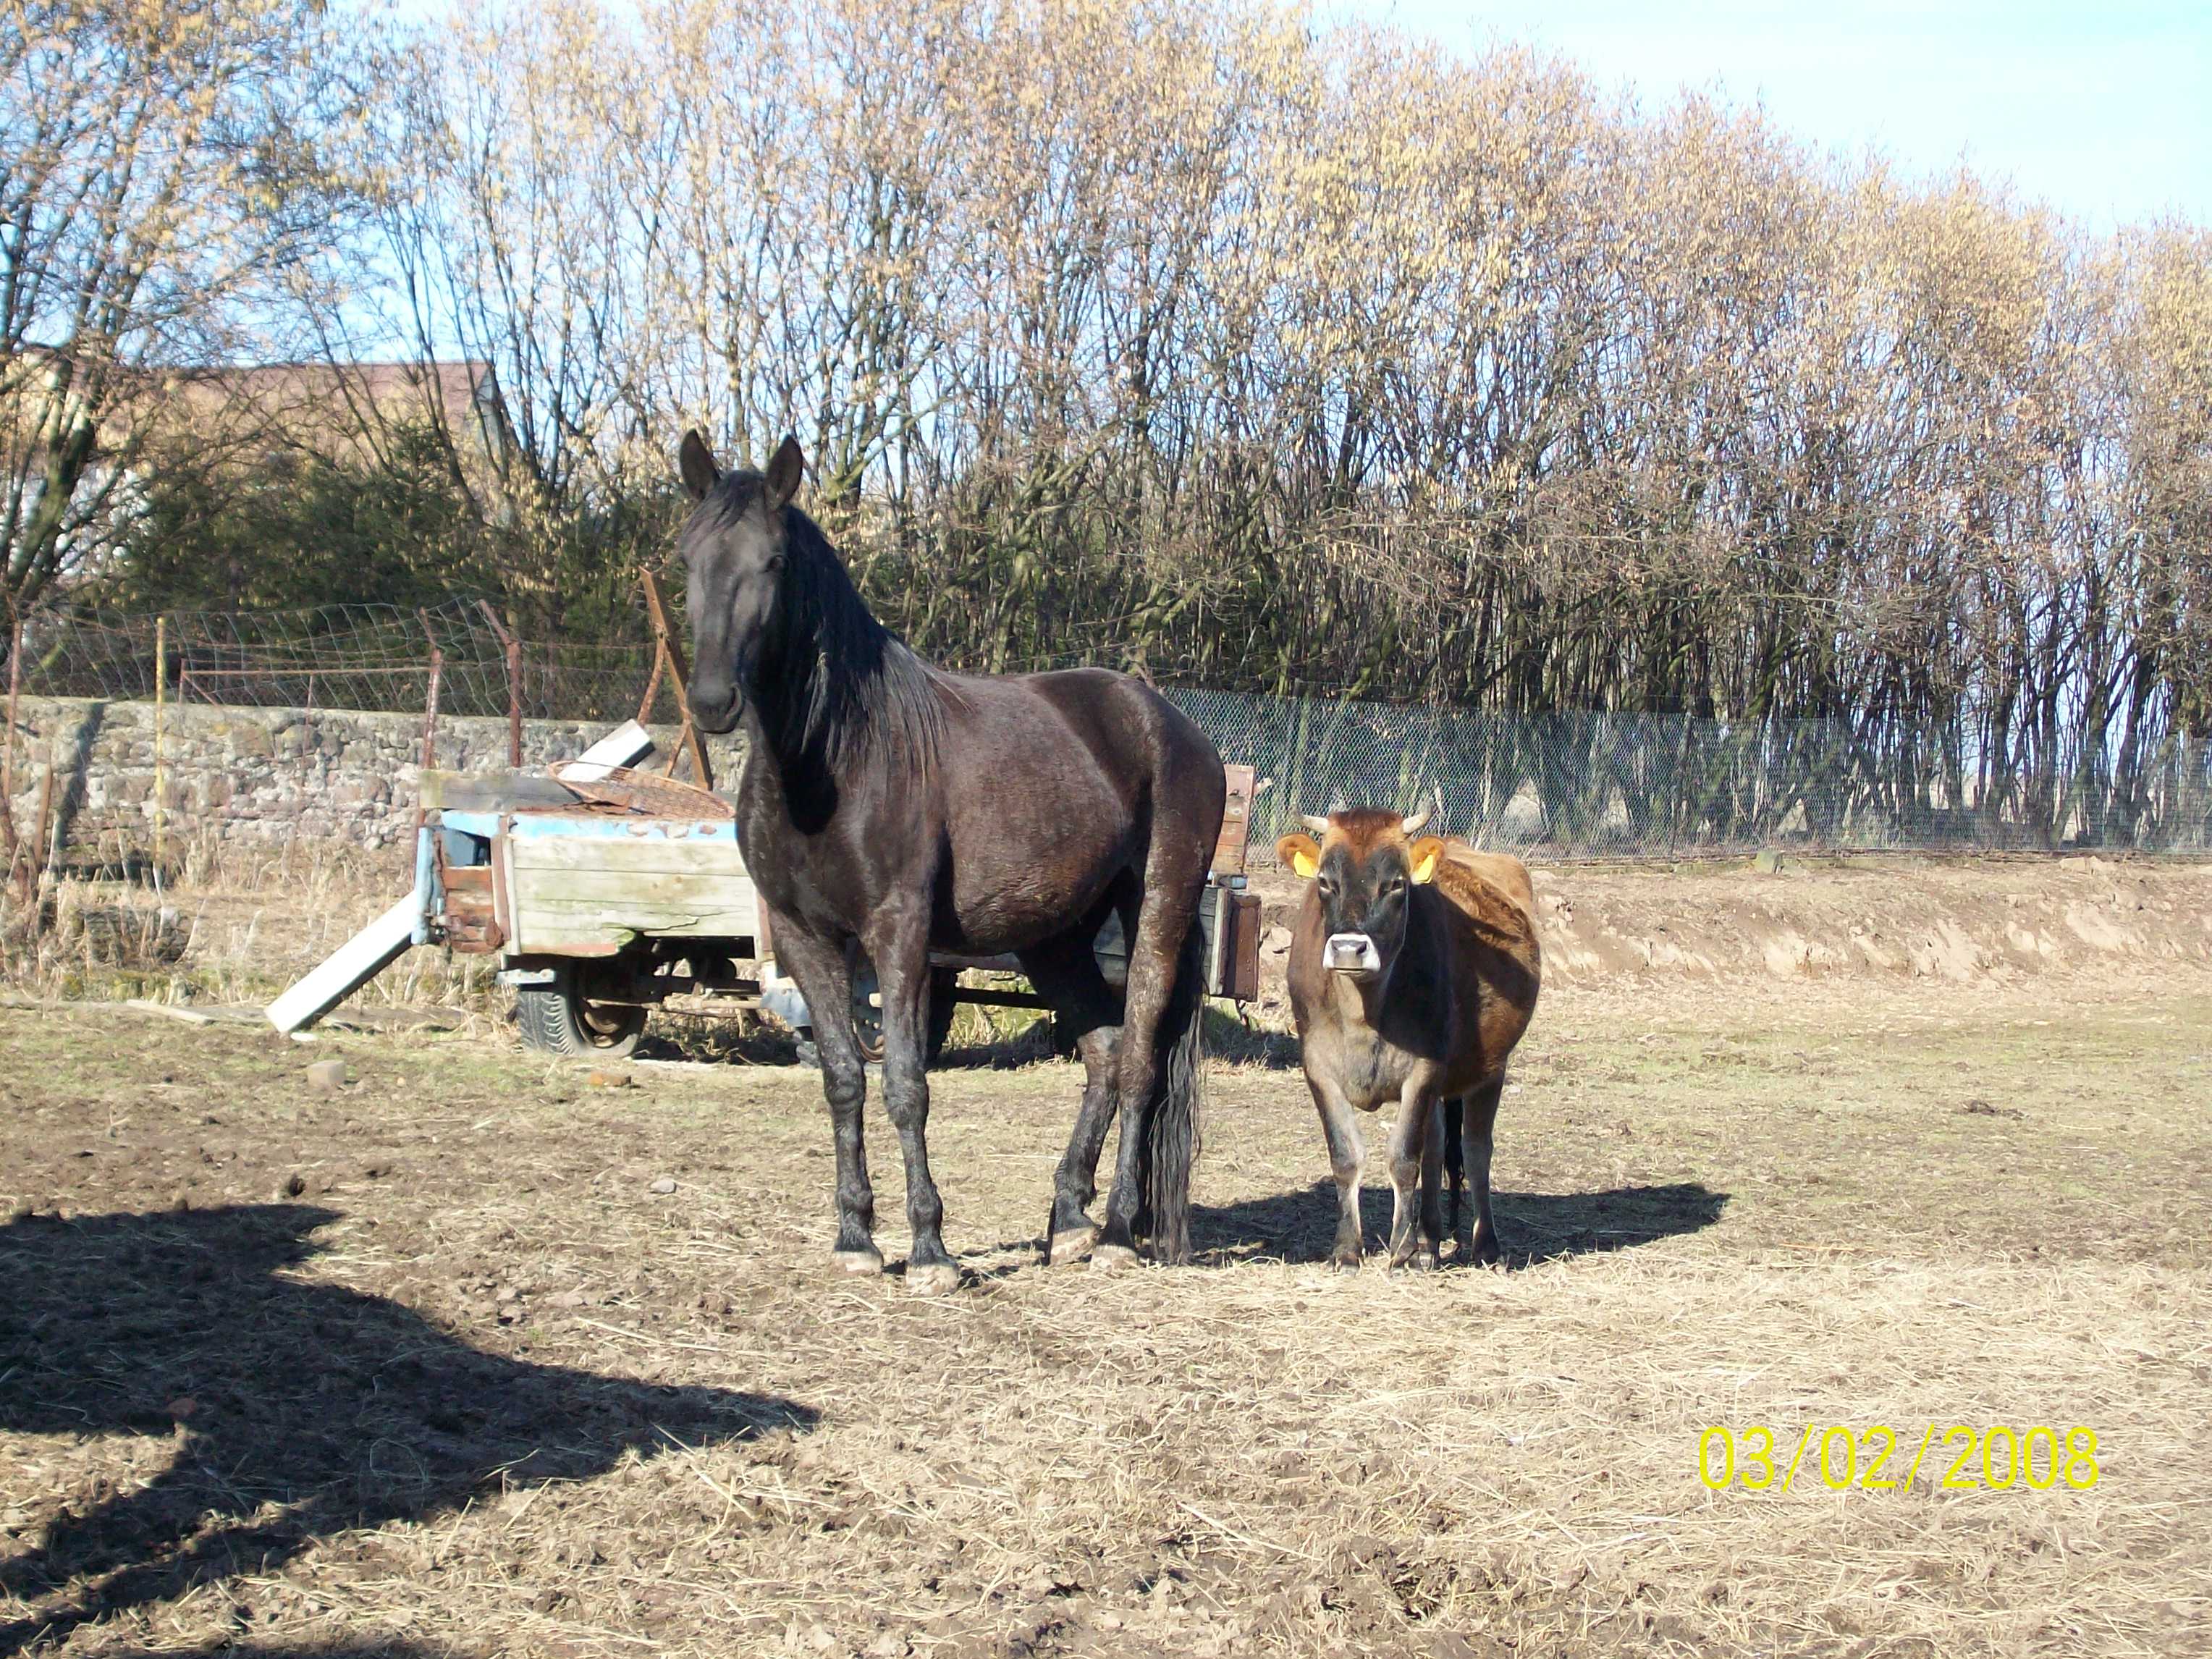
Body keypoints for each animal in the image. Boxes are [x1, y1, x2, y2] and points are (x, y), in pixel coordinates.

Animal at [677, 436, 1230, 1291]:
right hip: (1054, 937)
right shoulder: (805, 938)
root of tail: (1168, 721)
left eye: (772, 561)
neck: (835, 760)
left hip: (1159, 907)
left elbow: (907, 1083)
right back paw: (1068, 1221)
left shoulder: (899, 934)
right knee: (1103, 1054)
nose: (710, 702)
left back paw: (1113, 1231)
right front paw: (856, 1240)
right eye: (686, 557)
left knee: (1139, 1059)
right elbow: (842, 1079)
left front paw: (930, 1250)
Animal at [1274, 814, 1548, 1265]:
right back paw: (1429, 1241)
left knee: (1476, 1151)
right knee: (1436, 1148)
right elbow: (1345, 1157)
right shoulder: (1318, 1068)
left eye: (1396, 884)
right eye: (1326, 882)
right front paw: (1347, 1251)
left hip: (1491, 1069)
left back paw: (1484, 1245)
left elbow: (1404, 1158)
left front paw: (1401, 1251)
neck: (1363, 1014)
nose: (1349, 949)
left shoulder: (1423, 1070)